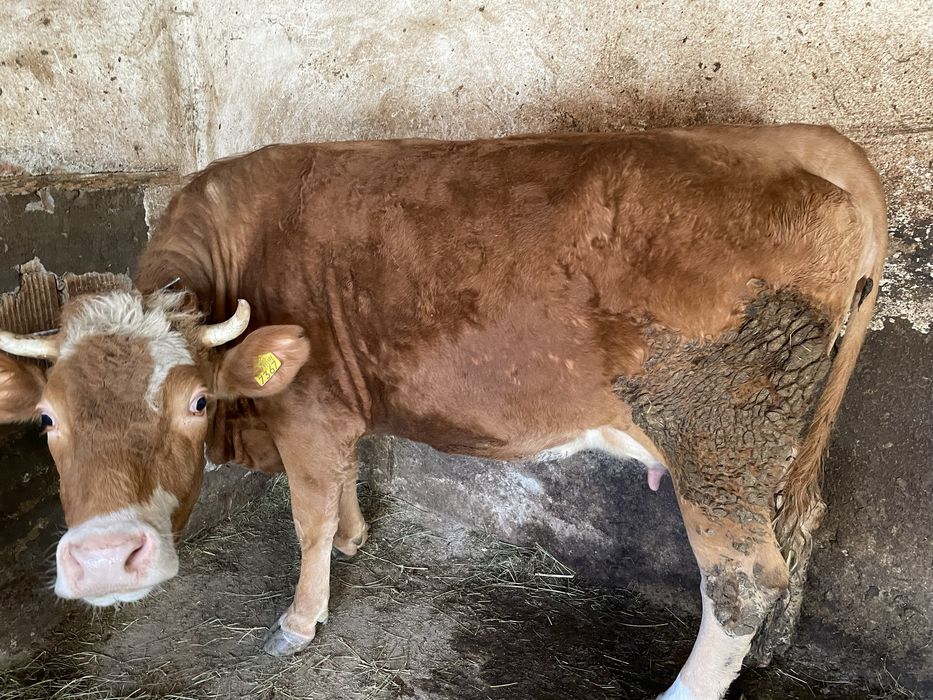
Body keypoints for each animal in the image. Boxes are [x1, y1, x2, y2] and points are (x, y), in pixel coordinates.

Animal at [0, 124, 886, 699]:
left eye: (194, 399)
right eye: (47, 420)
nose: (105, 562)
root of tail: (798, 142)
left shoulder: (305, 412)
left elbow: (307, 518)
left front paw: (301, 619)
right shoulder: (336, 407)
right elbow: (345, 483)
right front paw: (356, 539)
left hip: (716, 438)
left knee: (742, 577)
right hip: (774, 444)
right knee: (797, 533)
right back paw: (764, 655)